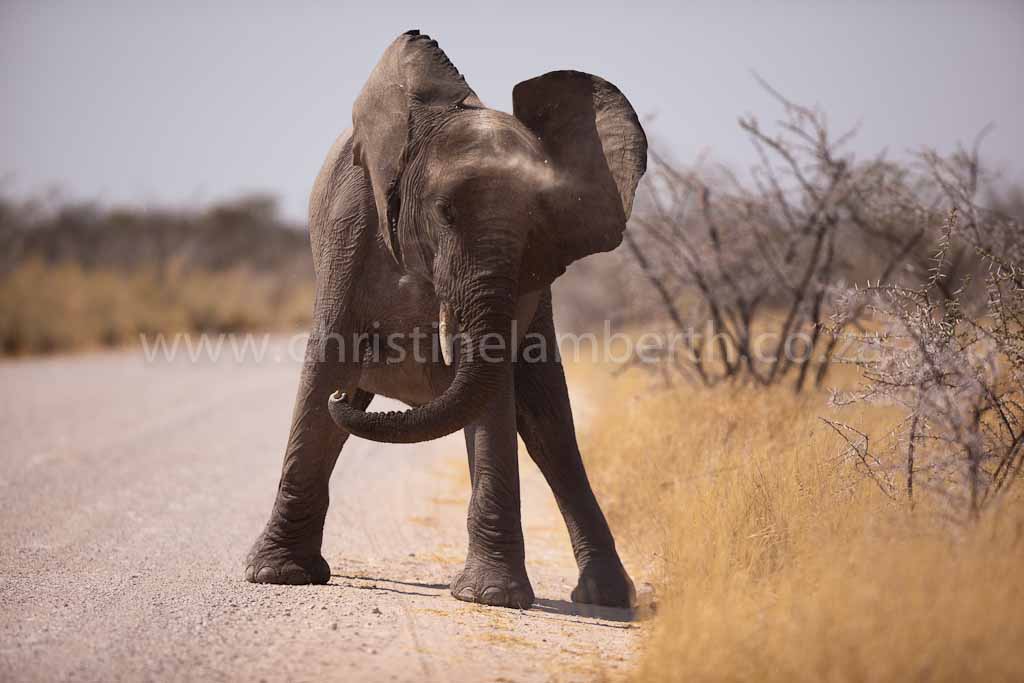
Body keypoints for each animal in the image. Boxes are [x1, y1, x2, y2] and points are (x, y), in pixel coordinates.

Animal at [244, 30, 647, 610]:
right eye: (444, 214)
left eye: (537, 226)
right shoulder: (350, 230)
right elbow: (326, 370)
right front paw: (278, 576)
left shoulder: (524, 280)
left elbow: (496, 397)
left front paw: (489, 598)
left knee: (551, 434)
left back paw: (608, 600)